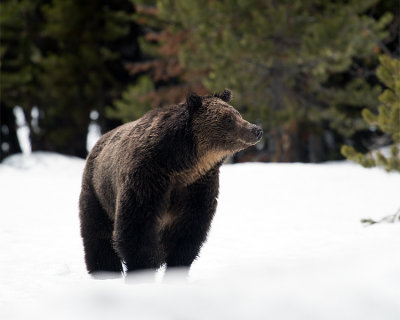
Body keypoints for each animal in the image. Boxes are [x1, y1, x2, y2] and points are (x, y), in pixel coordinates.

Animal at [79, 89, 264, 276]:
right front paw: (144, 267)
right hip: (98, 191)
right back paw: (104, 272)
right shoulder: (147, 178)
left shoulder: (198, 187)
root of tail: (99, 141)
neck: (181, 165)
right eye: (228, 118)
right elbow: (137, 228)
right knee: (98, 235)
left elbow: (188, 232)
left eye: (237, 114)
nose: (256, 129)